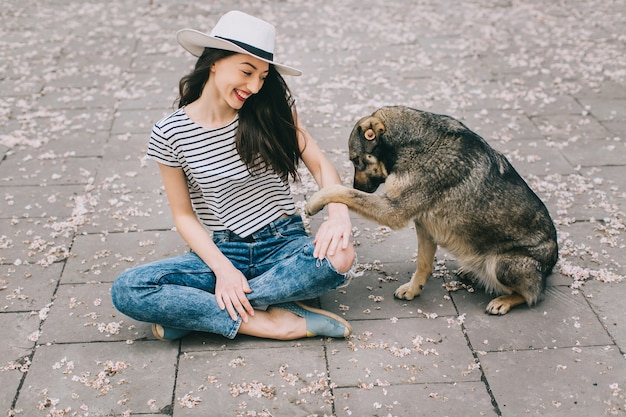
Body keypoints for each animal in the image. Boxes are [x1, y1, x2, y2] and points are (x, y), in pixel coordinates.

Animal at [304, 105, 556, 314]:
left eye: (356, 160)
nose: (358, 185)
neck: (412, 143)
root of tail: (551, 263)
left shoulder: (393, 211)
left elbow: (343, 192)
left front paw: (316, 200)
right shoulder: (424, 227)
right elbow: (423, 264)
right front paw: (414, 289)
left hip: (503, 265)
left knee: (533, 294)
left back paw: (504, 300)